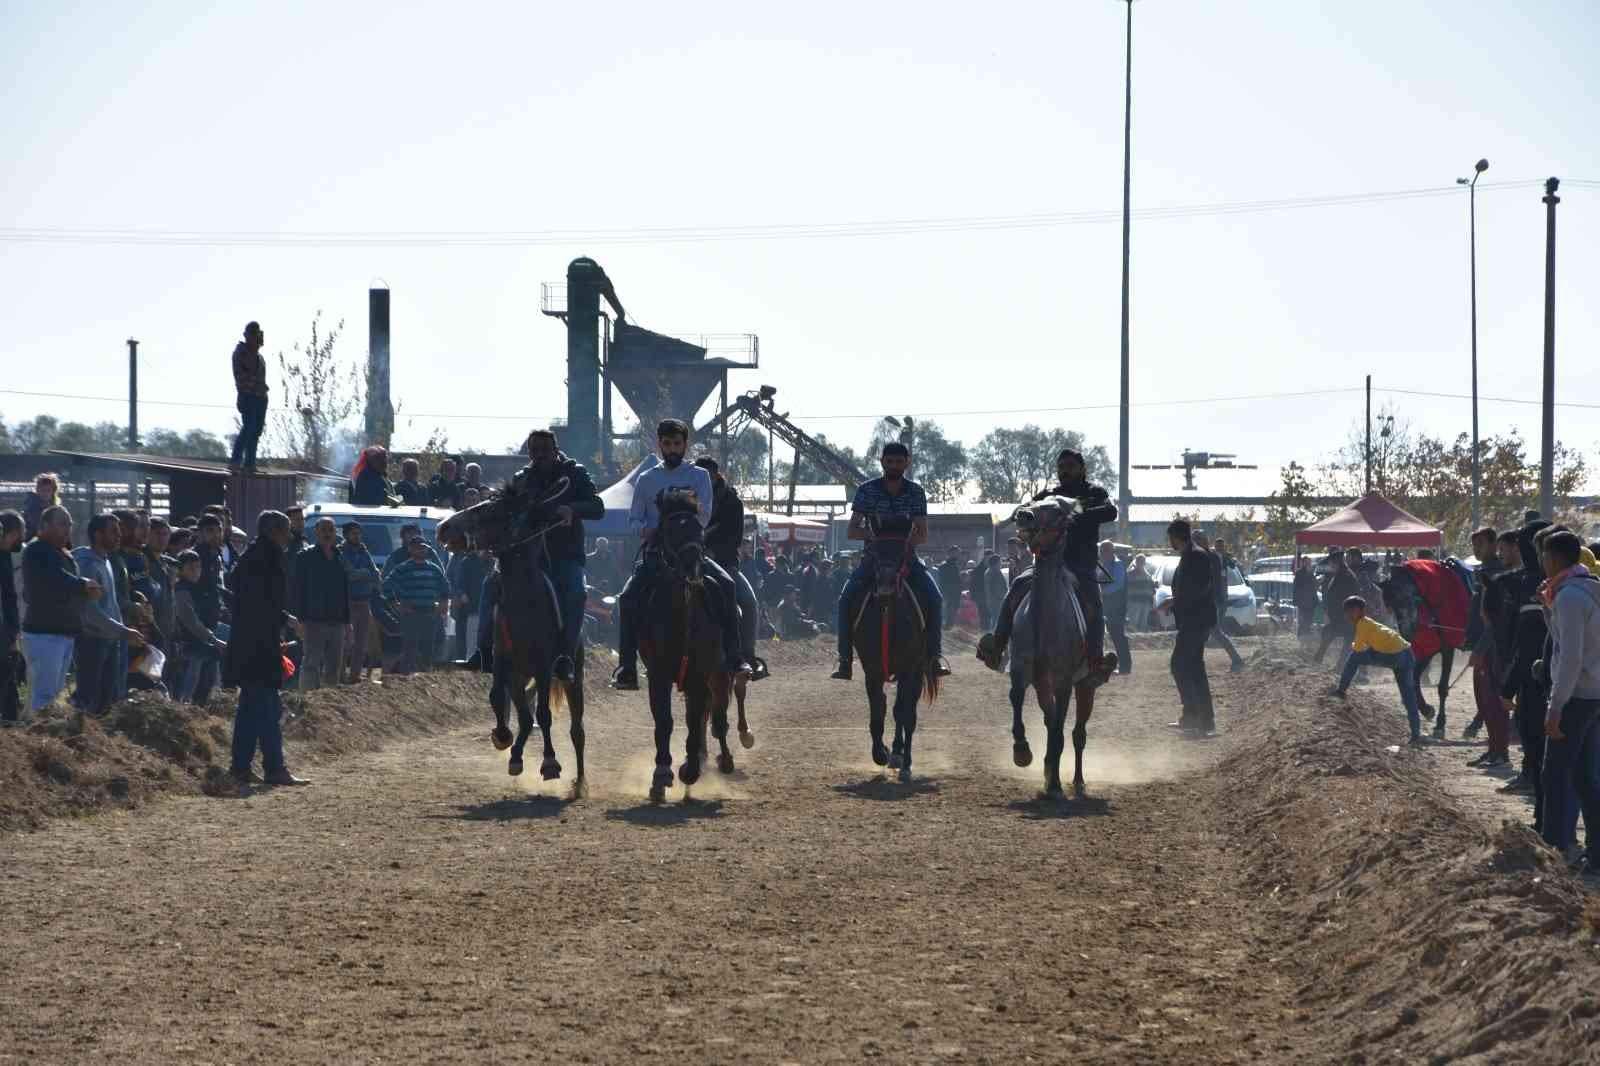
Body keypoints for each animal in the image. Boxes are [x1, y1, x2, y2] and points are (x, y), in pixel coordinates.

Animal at [438, 476, 588, 793]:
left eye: (493, 511)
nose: (443, 527)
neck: (524, 601)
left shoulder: (543, 667)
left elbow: (544, 715)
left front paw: (550, 763)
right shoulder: (502, 662)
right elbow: (497, 698)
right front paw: (502, 736)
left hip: (573, 678)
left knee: (575, 729)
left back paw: (579, 783)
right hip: (519, 679)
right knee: (525, 717)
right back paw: (516, 756)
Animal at [636, 486, 748, 797]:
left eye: (699, 529)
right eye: (669, 529)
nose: (692, 567)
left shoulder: (700, 673)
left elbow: (697, 718)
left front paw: (690, 770)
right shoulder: (658, 674)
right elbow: (664, 721)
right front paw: (662, 773)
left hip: (719, 673)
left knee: (717, 717)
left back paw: (722, 759)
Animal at [844, 515, 934, 781]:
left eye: (901, 549)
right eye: (874, 549)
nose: (885, 584)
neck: (887, 612)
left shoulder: (909, 668)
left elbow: (904, 713)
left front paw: (904, 763)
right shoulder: (871, 668)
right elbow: (878, 709)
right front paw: (880, 753)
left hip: (918, 671)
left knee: (905, 710)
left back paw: (899, 754)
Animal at [1004, 499, 1094, 797]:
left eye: (1056, 510)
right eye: (1035, 502)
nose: (1024, 515)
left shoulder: (1063, 681)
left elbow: (1059, 729)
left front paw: (1054, 784)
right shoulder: (1021, 668)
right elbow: (1016, 697)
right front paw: (1021, 750)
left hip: (1086, 685)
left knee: (1077, 734)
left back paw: (1076, 781)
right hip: (1043, 685)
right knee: (1051, 720)